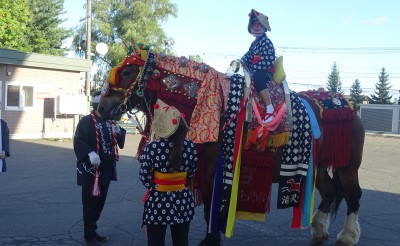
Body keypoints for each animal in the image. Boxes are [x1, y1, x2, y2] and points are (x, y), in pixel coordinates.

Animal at [97, 39, 366, 245]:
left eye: (128, 72)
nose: (101, 106)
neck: (211, 102)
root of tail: (350, 107)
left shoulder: (213, 170)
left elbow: (210, 208)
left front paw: (210, 239)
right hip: (316, 165)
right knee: (330, 193)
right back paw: (319, 232)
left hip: (348, 167)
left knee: (353, 195)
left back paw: (347, 236)